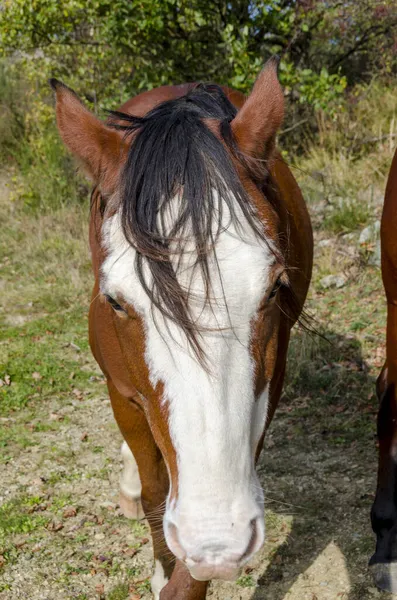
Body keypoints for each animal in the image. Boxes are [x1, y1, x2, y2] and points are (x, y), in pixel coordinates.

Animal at [51, 59, 312, 600]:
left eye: (275, 287)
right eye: (115, 300)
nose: (216, 538)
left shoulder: (264, 392)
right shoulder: (122, 392)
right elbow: (155, 491)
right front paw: (161, 563)